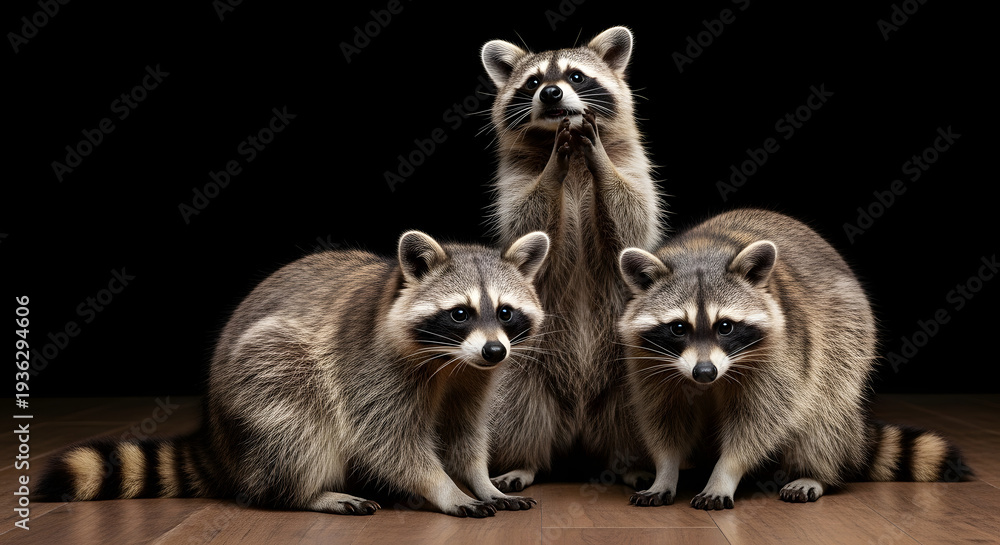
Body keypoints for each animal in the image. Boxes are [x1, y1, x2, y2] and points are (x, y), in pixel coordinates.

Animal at [36, 230, 550, 517]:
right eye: (460, 313)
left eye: (505, 313)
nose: (494, 350)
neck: (450, 362)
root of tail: (219, 443)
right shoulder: (371, 366)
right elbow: (388, 441)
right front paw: (443, 488)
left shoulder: (474, 378)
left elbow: (465, 434)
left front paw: (480, 479)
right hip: (268, 376)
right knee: (296, 424)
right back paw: (304, 494)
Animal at [480, 26, 663, 491]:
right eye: (532, 82)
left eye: (576, 76)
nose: (550, 93)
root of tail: (578, 426)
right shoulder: (514, 182)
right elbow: (527, 216)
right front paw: (551, 171)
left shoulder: (635, 167)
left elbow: (630, 215)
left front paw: (599, 160)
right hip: (523, 360)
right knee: (515, 408)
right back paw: (523, 462)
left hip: (627, 365)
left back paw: (631, 462)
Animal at [618, 208, 972, 509]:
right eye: (678, 328)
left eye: (725, 327)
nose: (705, 372)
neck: (701, 250)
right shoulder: (648, 362)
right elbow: (664, 417)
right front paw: (666, 469)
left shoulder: (782, 355)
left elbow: (759, 421)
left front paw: (725, 473)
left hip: (847, 346)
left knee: (825, 417)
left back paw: (815, 473)